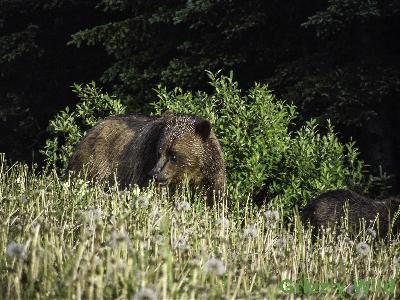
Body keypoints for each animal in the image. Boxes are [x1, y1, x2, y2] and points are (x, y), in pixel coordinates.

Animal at [67, 112, 227, 202]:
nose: (155, 174)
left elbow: (214, 199)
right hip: (96, 164)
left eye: (173, 155)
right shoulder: (145, 157)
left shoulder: (211, 174)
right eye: (159, 152)